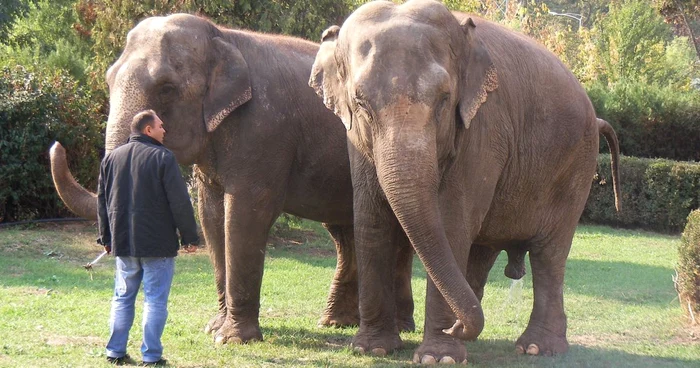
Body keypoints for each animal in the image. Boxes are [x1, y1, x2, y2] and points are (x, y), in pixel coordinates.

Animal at [52, 12, 418, 344]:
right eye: (108, 79)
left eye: (167, 88)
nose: (57, 146)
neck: (223, 35)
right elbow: (211, 217)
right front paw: (214, 328)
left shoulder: (264, 129)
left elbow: (245, 214)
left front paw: (232, 339)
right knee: (344, 232)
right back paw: (334, 323)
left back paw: (398, 328)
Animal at [308, 0, 620, 362]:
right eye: (360, 103)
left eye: (444, 98)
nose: (454, 327)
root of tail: (596, 116)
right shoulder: (354, 140)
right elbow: (371, 219)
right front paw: (371, 348)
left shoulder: (484, 128)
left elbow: (452, 223)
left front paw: (437, 356)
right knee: (484, 250)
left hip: (575, 170)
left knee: (549, 254)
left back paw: (536, 347)